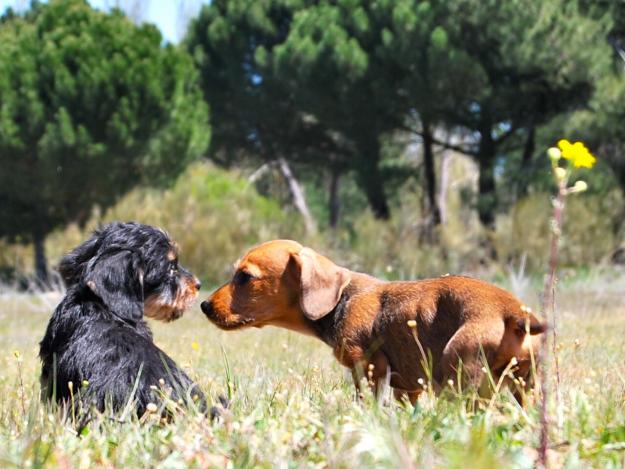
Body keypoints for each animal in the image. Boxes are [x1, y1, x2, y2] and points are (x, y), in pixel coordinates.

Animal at [202, 239, 544, 400]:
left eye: (245, 276)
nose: (204, 305)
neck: (342, 298)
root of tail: (511, 310)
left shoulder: (368, 369)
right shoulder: (407, 388)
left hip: (461, 375)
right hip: (527, 386)